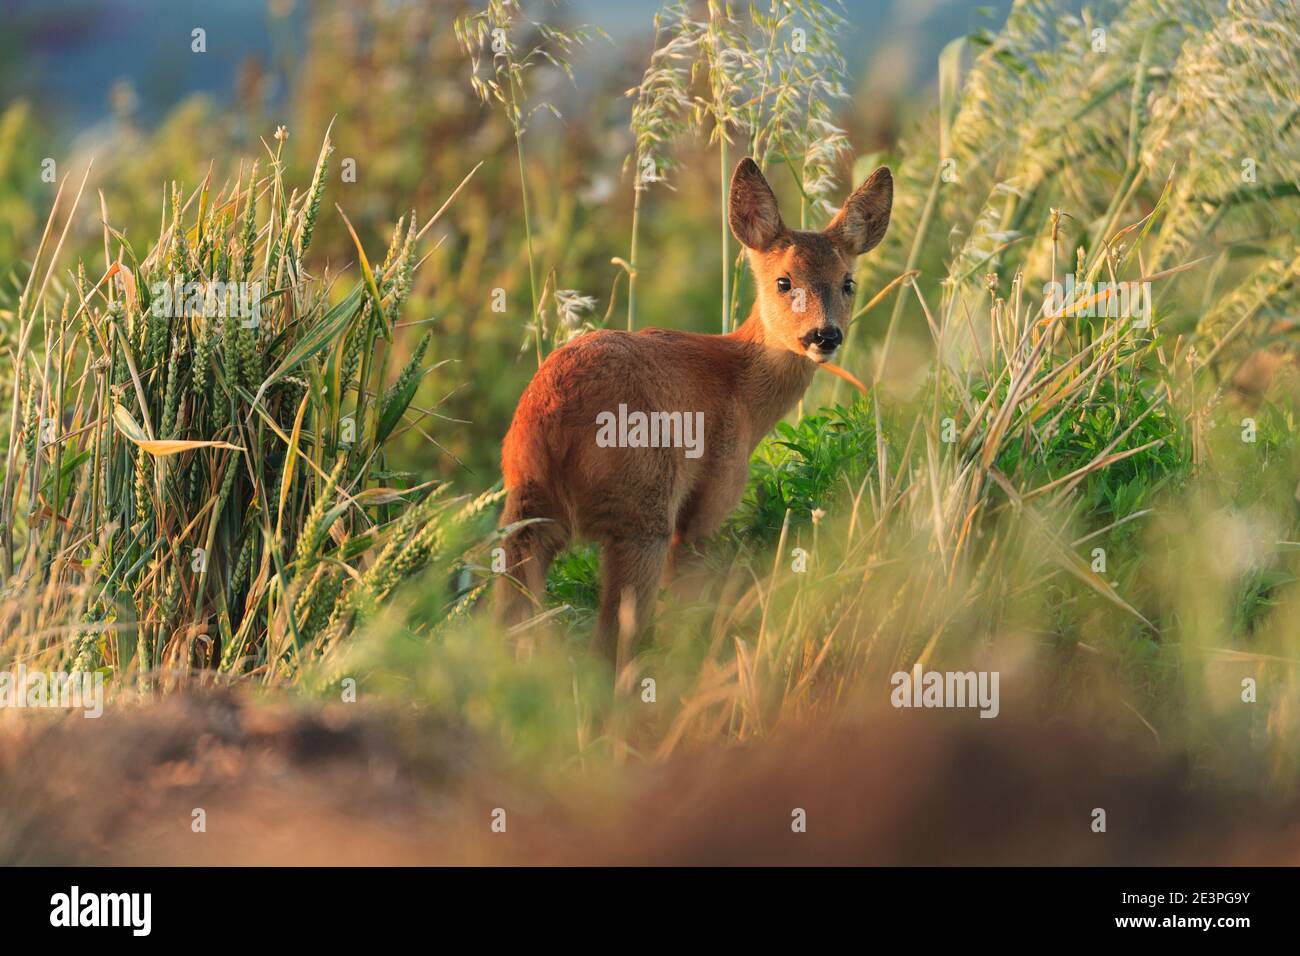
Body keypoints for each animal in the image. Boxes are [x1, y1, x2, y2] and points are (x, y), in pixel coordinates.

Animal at [497, 157, 892, 666]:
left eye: (848, 283)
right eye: (784, 281)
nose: (824, 336)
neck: (740, 386)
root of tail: (551, 419)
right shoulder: (710, 497)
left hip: (525, 507)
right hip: (642, 507)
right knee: (613, 636)